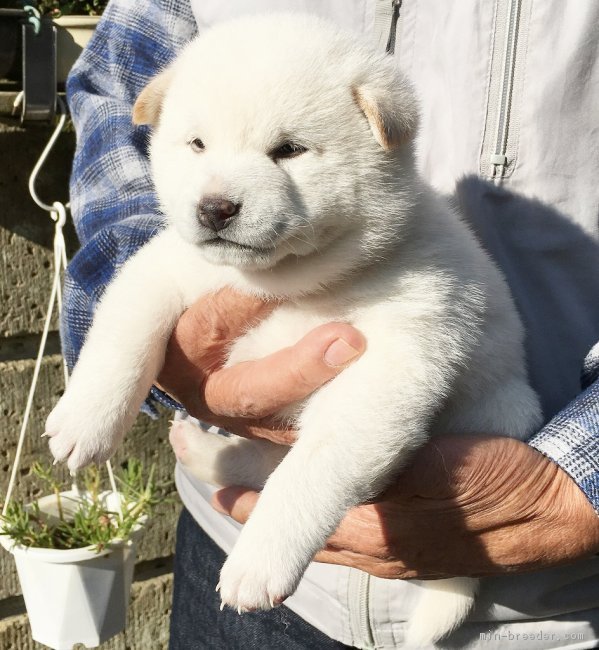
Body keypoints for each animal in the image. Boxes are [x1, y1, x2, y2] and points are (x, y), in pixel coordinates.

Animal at [47, 13, 544, 644]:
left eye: (288, 150)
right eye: (197, 144)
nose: (214, 207)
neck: (288, 282)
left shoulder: (389, 366)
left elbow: (308, 474)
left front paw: (259, 564)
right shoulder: (165, 269)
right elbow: (123, 332)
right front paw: (83, 422)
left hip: (497, 409)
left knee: (270, 467)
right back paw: (199, 447)